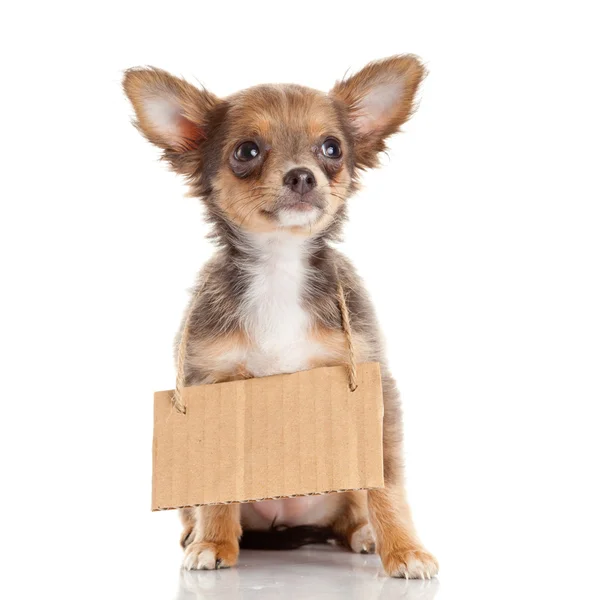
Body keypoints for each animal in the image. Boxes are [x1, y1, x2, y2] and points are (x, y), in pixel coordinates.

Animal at [124, 55, 438, 576]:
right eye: (247, 151)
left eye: (331, 148)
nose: (302, 176)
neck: (278, 265)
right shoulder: (211, 381)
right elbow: (217, 490)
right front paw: (213, 543)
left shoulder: (374, 388)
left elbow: (388, 485)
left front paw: (405, 550)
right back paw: (196, 534)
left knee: (351, 510)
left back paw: (363, 534)